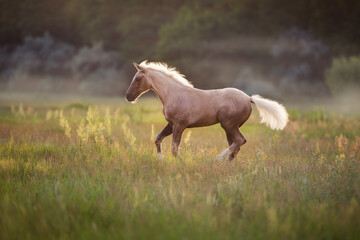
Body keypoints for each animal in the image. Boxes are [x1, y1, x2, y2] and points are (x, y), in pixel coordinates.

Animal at [125, 60, 288, 161]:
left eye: (138, 78)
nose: (128, 96)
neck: (173, 93)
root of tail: (249, 98)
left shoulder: (179, 125)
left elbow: (174, 148)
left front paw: (183, 164)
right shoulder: (171, 124)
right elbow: (158, 138)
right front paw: (160, 159)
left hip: (228, 124)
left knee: (239, 141)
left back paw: (217, 159)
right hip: (230, 127)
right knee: (235, 147)